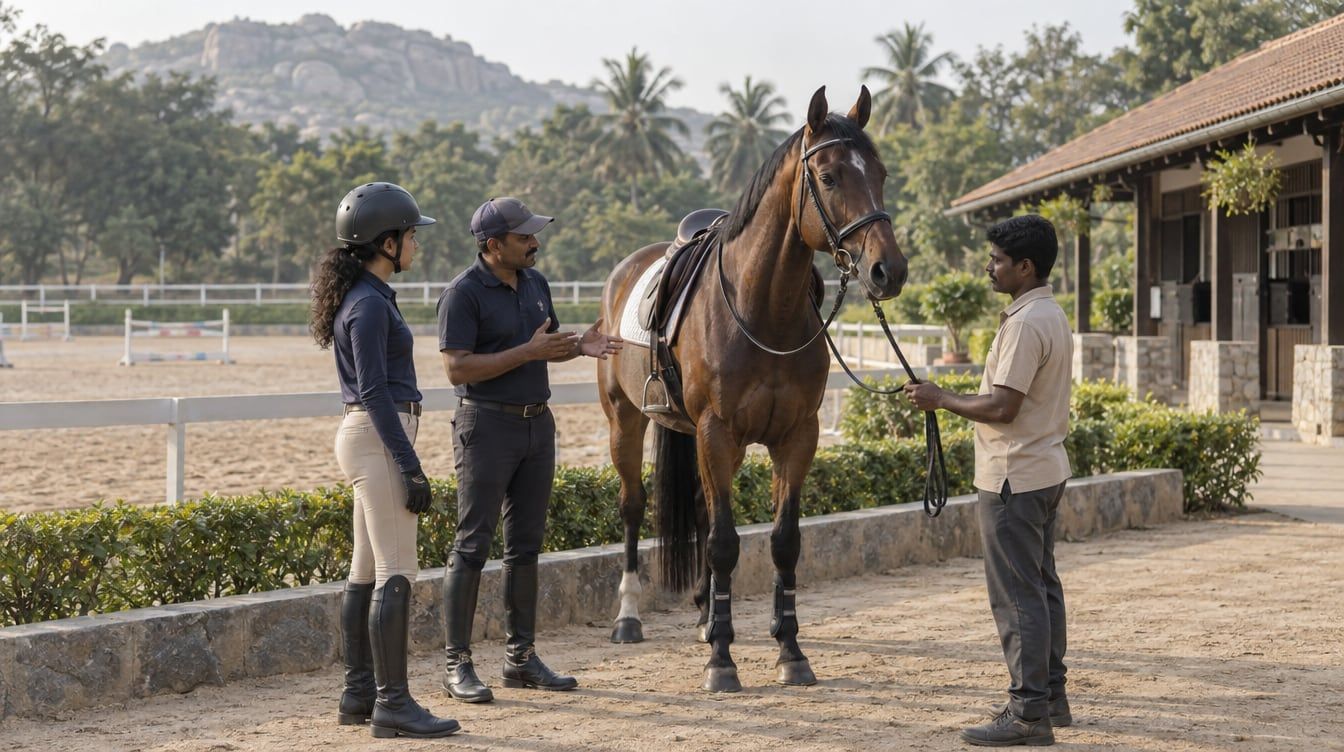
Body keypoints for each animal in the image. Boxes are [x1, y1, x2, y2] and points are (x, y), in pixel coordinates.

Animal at [596, 86, 909, 693]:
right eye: (829, 176)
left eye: (881, 173)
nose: (889, 270)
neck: (762, 308)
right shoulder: (717, 432)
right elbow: (724, 543)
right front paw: (722, 661)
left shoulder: (796, 436)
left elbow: (783, 541)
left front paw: (790, 650)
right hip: (627, 420)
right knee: (633, 506)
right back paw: (628, 618)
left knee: (700, 507)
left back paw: (702, 615)